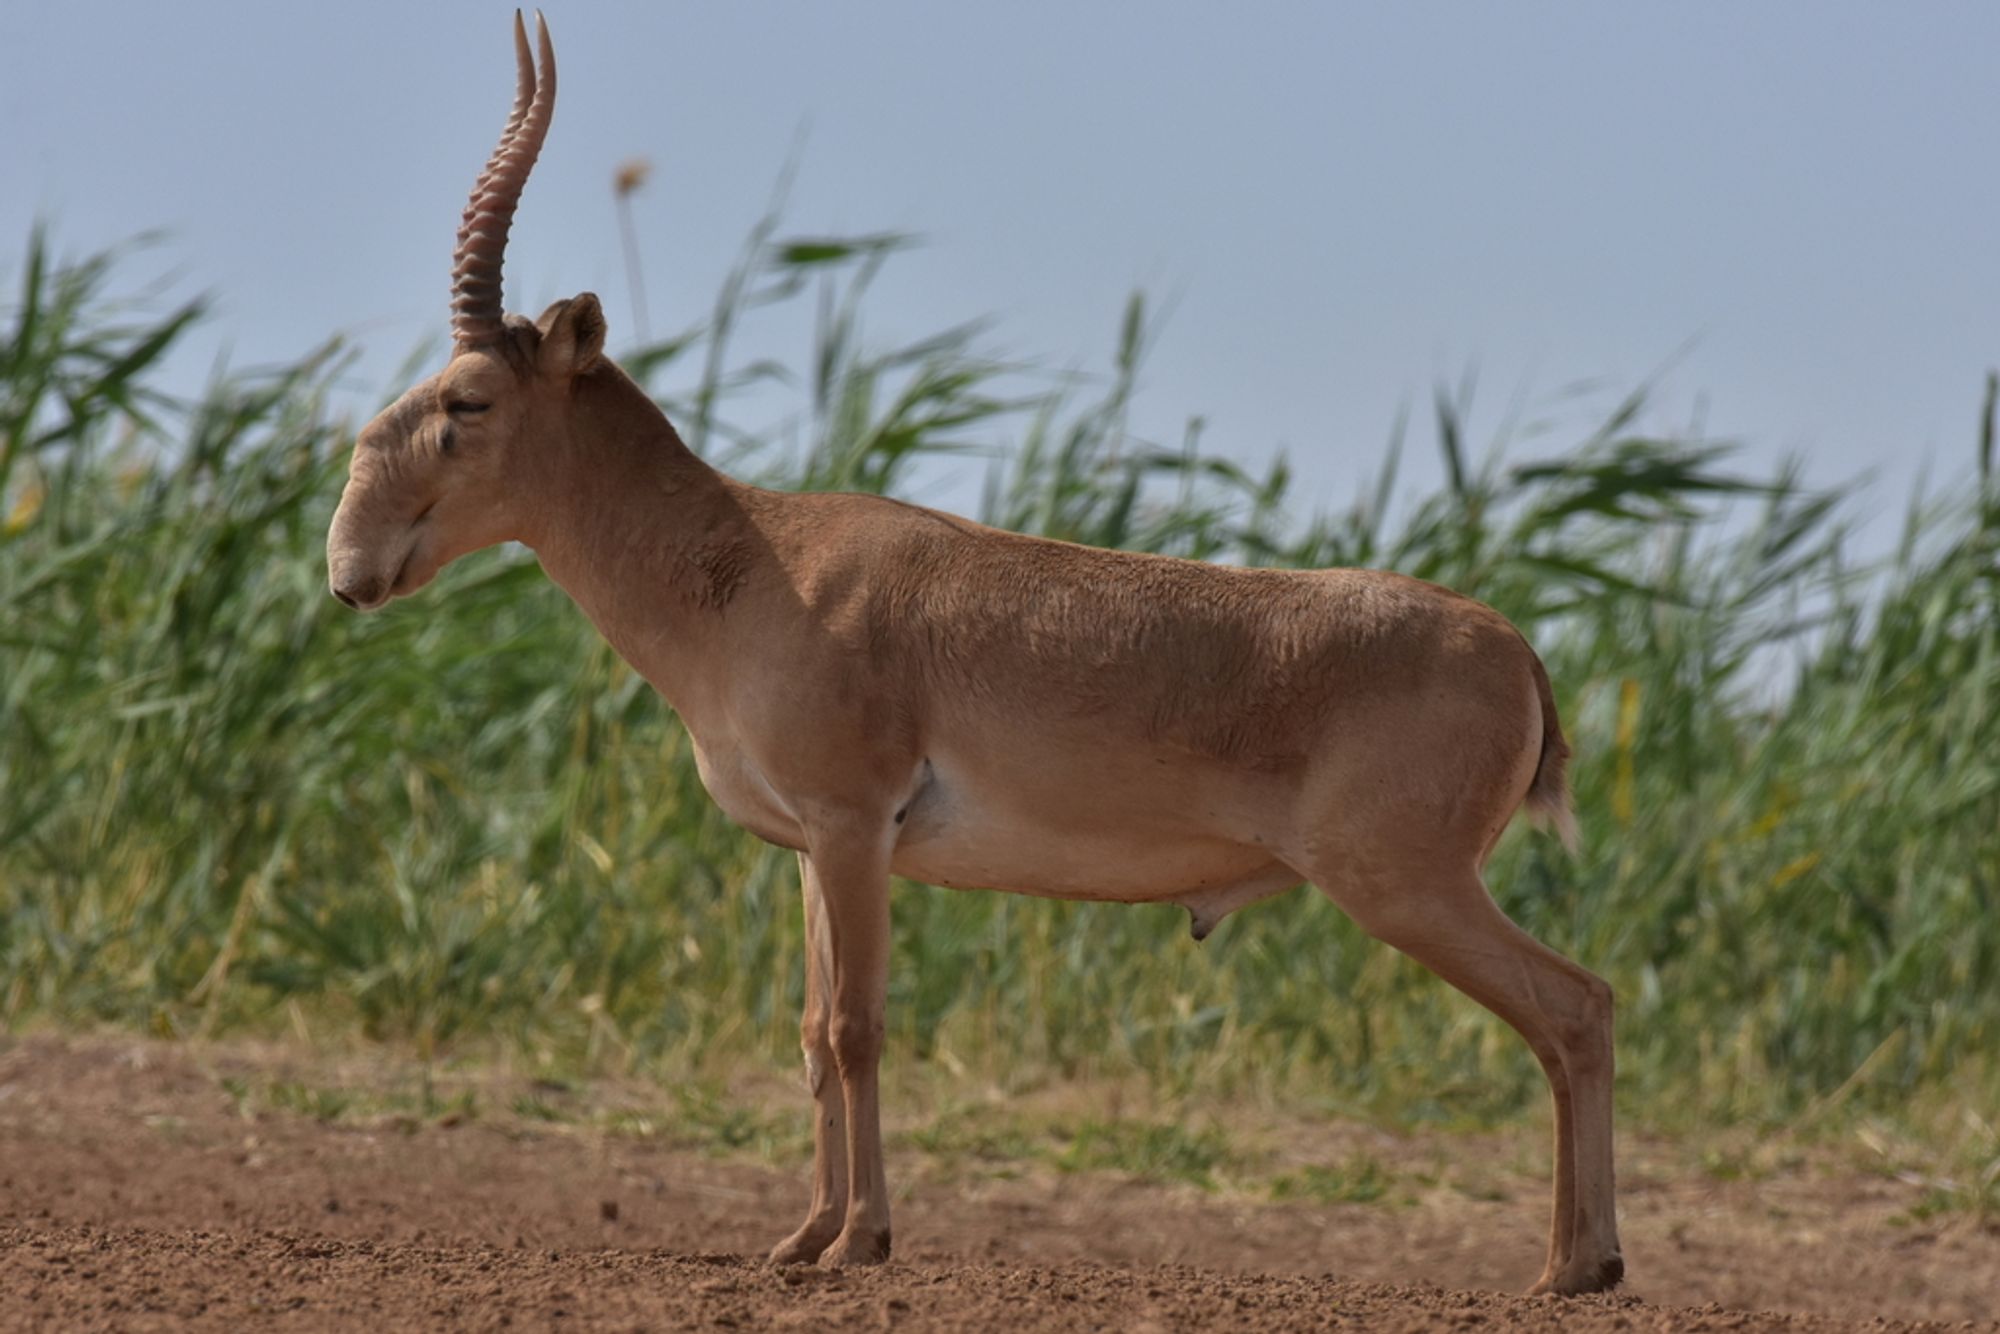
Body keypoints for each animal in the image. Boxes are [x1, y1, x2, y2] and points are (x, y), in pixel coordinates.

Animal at [324, 15, 1624, 1296]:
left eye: (468, 398)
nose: (350, 566)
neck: (757, 557)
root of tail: (1516, 651)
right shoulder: (814, 848)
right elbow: (812, 1031)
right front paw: (801, 1237)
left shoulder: (854, 827)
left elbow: (859, 1025)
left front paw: (860, 1240)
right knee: (1573, 1014)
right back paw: (1579, 1260)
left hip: (1406, 884)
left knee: (1577, 1004)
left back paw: (1576, 1266)